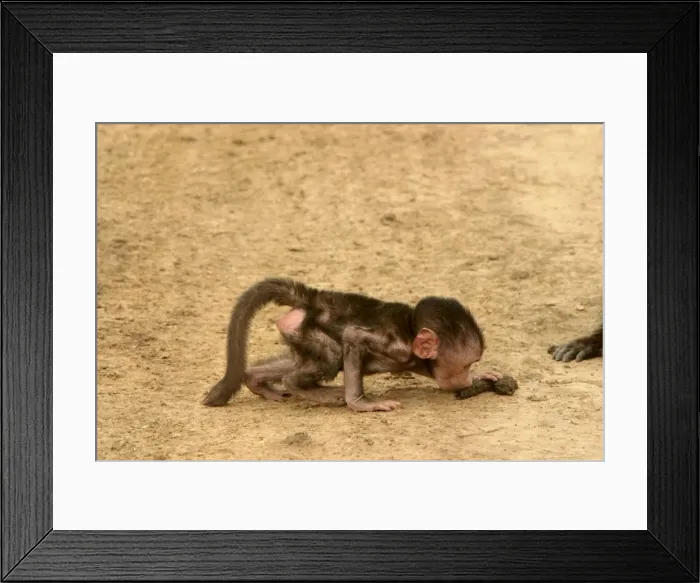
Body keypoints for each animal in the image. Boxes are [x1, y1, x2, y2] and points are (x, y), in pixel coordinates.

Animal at [202, 277, 502, 413]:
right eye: (465, 365)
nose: (467, 379)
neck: (410, 328)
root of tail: (313, 298)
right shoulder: (396, 346)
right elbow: (353, 336)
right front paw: (361, 404)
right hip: (311, 333)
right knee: (328, 357)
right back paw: (307, 388)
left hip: (300, 334)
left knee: (300, 360)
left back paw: (256, 381)